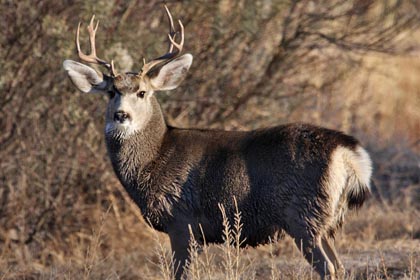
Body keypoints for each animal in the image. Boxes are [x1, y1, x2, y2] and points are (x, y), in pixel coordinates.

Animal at [62, 5, 370, 278]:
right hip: (322, 220)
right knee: (340, 266)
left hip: (303, 215)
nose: (121, 115)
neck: (156, 157)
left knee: (328, 267)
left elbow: (180, 274)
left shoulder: (182, 221)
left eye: (141, 92)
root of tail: (348, 152)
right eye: (111, 91)